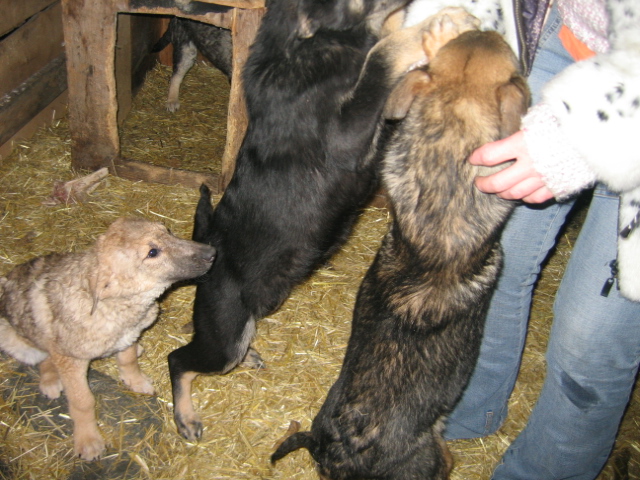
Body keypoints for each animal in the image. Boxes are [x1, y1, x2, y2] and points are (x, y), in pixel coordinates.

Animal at [0, 217, 216, 460]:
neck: (116, 305)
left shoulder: (129, 334)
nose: (211, 252)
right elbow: (82, 401)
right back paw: (50, 381)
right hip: (17, 340)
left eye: (167, 231)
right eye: (152, 252)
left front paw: (136, 381)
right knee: (45, 357)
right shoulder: (71, 360)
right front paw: (88, 439)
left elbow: (128, 360)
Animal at [167, 0, 481, 442]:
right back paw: (186, 416)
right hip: (224, 338)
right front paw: (434, 26)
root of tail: (209, 250)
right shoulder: (347, 133)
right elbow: (380, 58)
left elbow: (385, 54)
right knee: (178, 361)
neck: (307, 47)